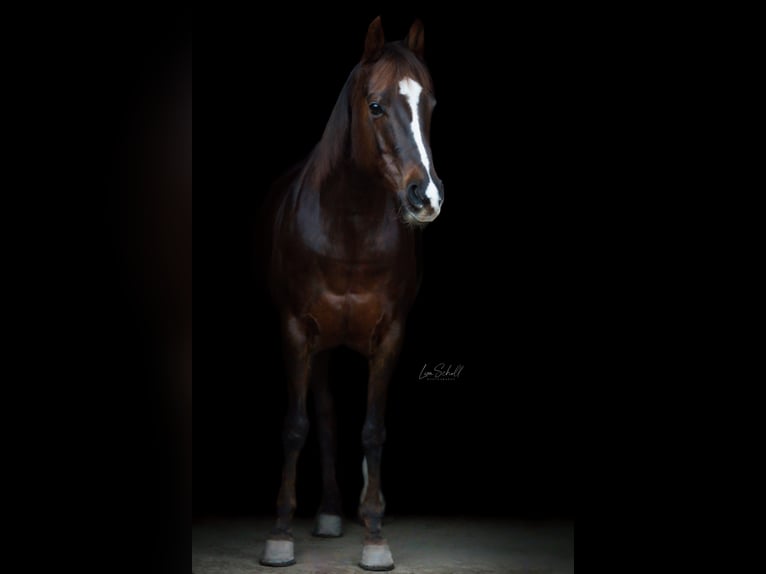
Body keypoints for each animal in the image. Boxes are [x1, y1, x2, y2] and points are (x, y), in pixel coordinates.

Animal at [260, 16, 443, 570]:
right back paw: (324, 516)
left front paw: (375, 535)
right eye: (376, 105)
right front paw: (280, 535)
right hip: (317, 347)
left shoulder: (390, 337)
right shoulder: (295, 332)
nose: (426, 197)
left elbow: (372, 431)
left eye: (430, 104)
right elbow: (296, 426)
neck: (348, 226)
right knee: (320, 417)